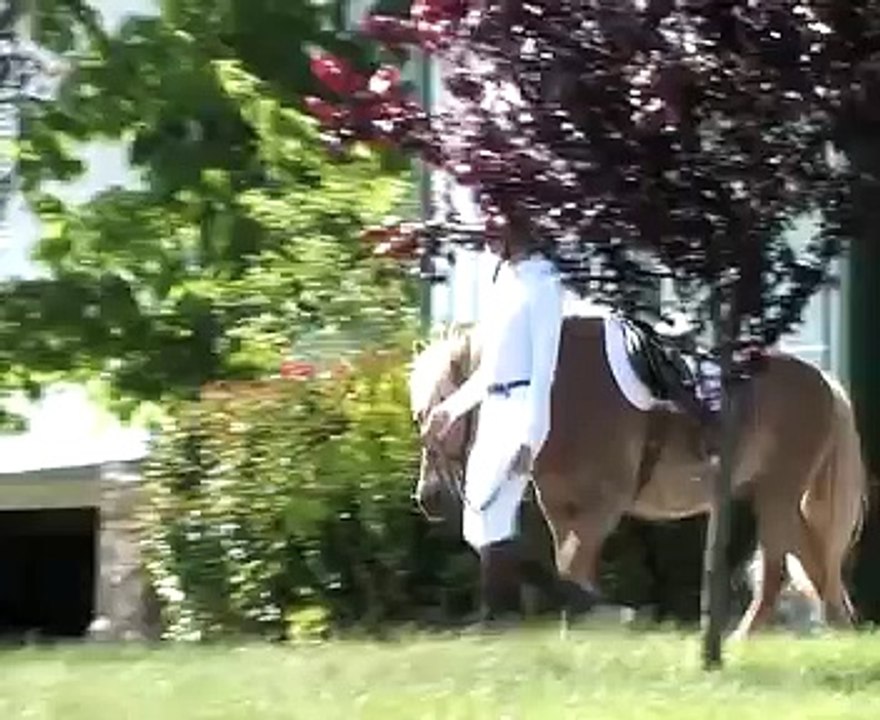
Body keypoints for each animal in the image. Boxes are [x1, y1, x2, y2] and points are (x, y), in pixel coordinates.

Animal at [408, 314, 868, 636]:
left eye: (439, 417)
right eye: (419, 417)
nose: (428, 497)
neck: (557, 393)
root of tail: (823, 382)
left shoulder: (603, 506)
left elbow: (572, 567)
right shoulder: (561, 510)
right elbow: (568, 567)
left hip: (777, 492)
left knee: (779, 569)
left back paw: (746, 636)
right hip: (773, 493)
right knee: (813, 560)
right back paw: (837, 627)